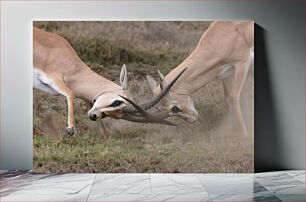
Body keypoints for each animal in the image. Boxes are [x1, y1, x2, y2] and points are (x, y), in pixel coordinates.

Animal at [33, 27, 186, 139]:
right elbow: (70, 93)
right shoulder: (54, 78)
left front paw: (107, 137)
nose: (93, 116)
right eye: (117, 102)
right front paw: (71, 128)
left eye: (115, 114)